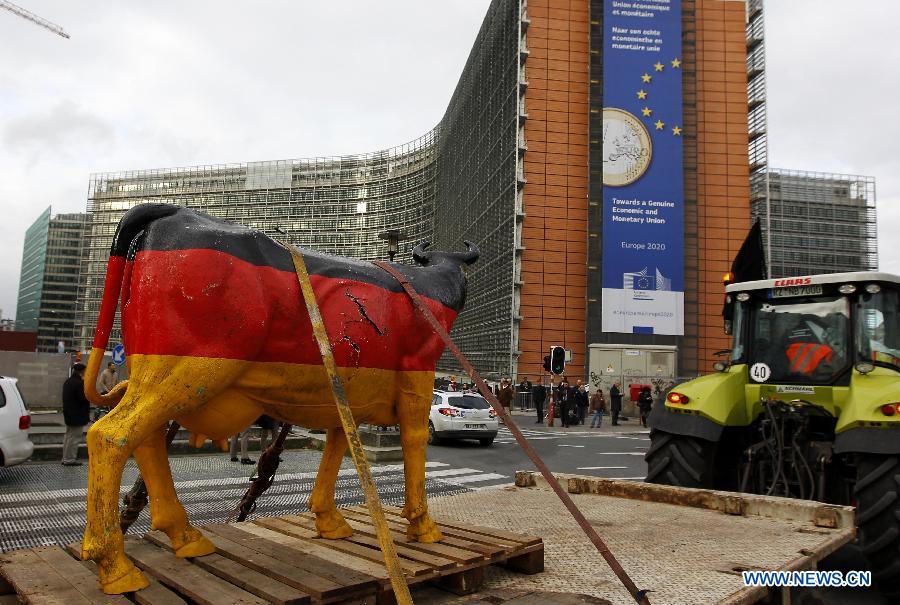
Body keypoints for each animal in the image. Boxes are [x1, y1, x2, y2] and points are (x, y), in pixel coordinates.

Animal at [81, 205, 482, 592]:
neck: (427, 286)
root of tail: (175, 212)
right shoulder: (418, 372)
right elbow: (414, 441)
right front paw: (423, 525)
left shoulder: (348, 391)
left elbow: (339, 444)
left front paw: (328, 518)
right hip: (193, 368)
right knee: (111, 435)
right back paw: (115, 565)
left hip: (155, 371)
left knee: (146, 441)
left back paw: (184, 535)